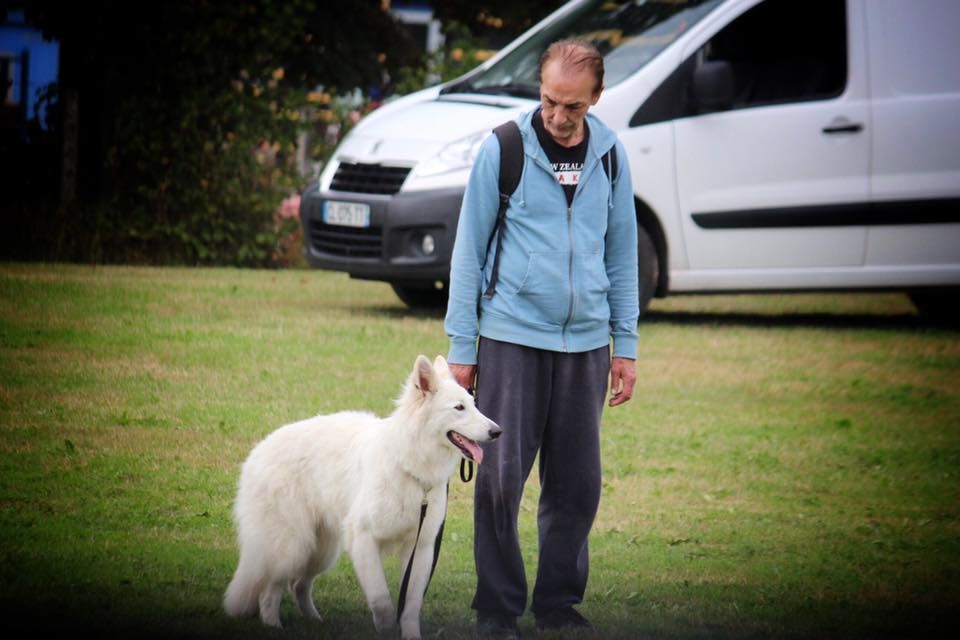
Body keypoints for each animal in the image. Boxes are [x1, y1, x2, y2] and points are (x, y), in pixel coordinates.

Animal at [220, 356, 498, 640]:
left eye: (473, 404)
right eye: (459, 408)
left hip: (320, 551)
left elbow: (410, 604)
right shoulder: (364, 538)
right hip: (290, 547)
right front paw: (385, 631)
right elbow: (382, 599)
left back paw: (315, 621)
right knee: (270, 589)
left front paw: (410, 635)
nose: (497, 431)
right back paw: (273, 626)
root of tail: (258, 451)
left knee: (299, 584)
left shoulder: (420, 548)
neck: (409, 463)